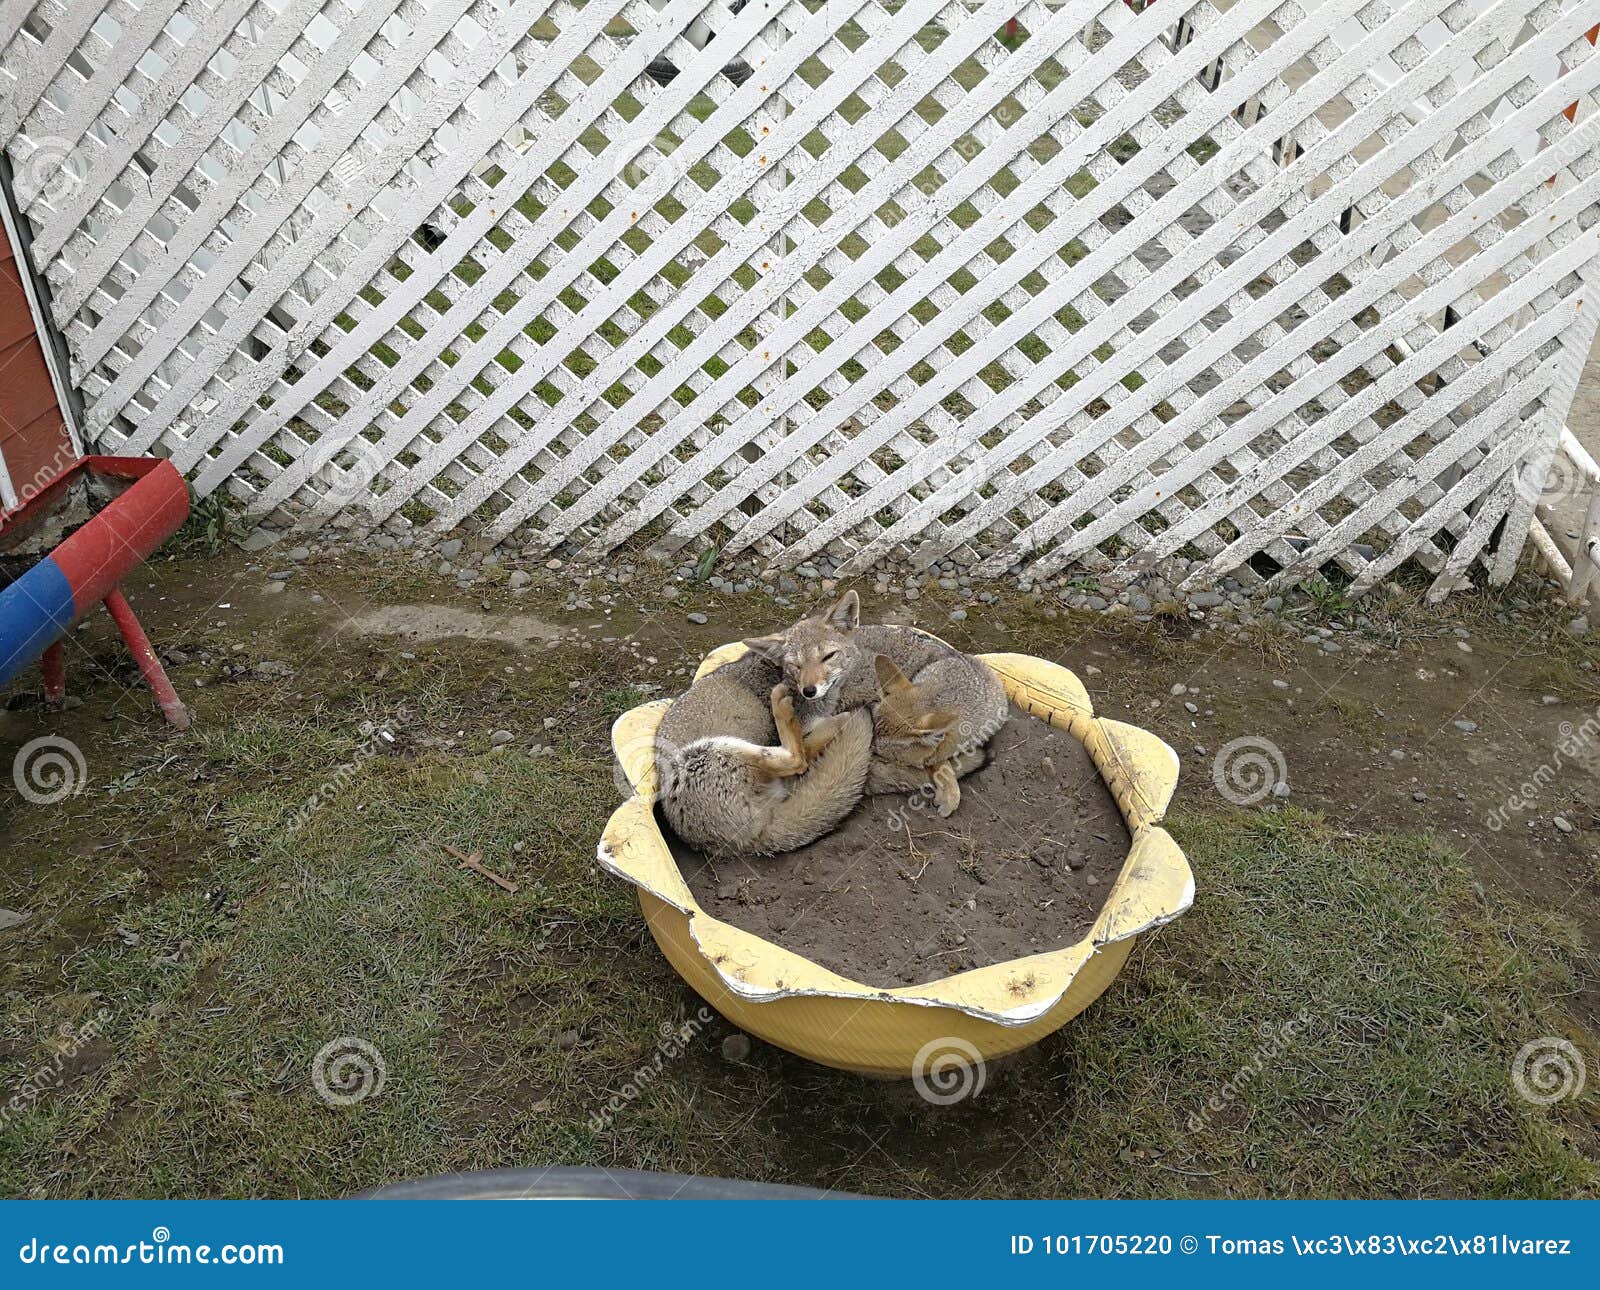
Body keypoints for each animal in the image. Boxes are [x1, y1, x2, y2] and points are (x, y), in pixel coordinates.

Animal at [652, 592, 1004, 857]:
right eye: (795, 665)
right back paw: (793, 711)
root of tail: (747, 841)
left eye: (827, 657)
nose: (809, 690)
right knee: (797, 758)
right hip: (704, 753)